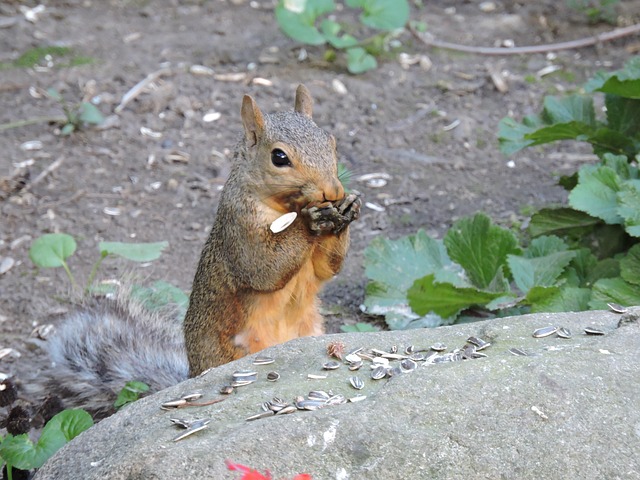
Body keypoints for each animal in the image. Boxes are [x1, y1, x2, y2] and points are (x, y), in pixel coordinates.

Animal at [29, 85, 361, 419]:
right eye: (279, 157)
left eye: (331, 141)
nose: (333, 191)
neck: (285, 207)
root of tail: (190, 375)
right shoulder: (238, 230)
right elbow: (263, 268)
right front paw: (311, 220)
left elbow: (327, 268)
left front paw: (348, 207)